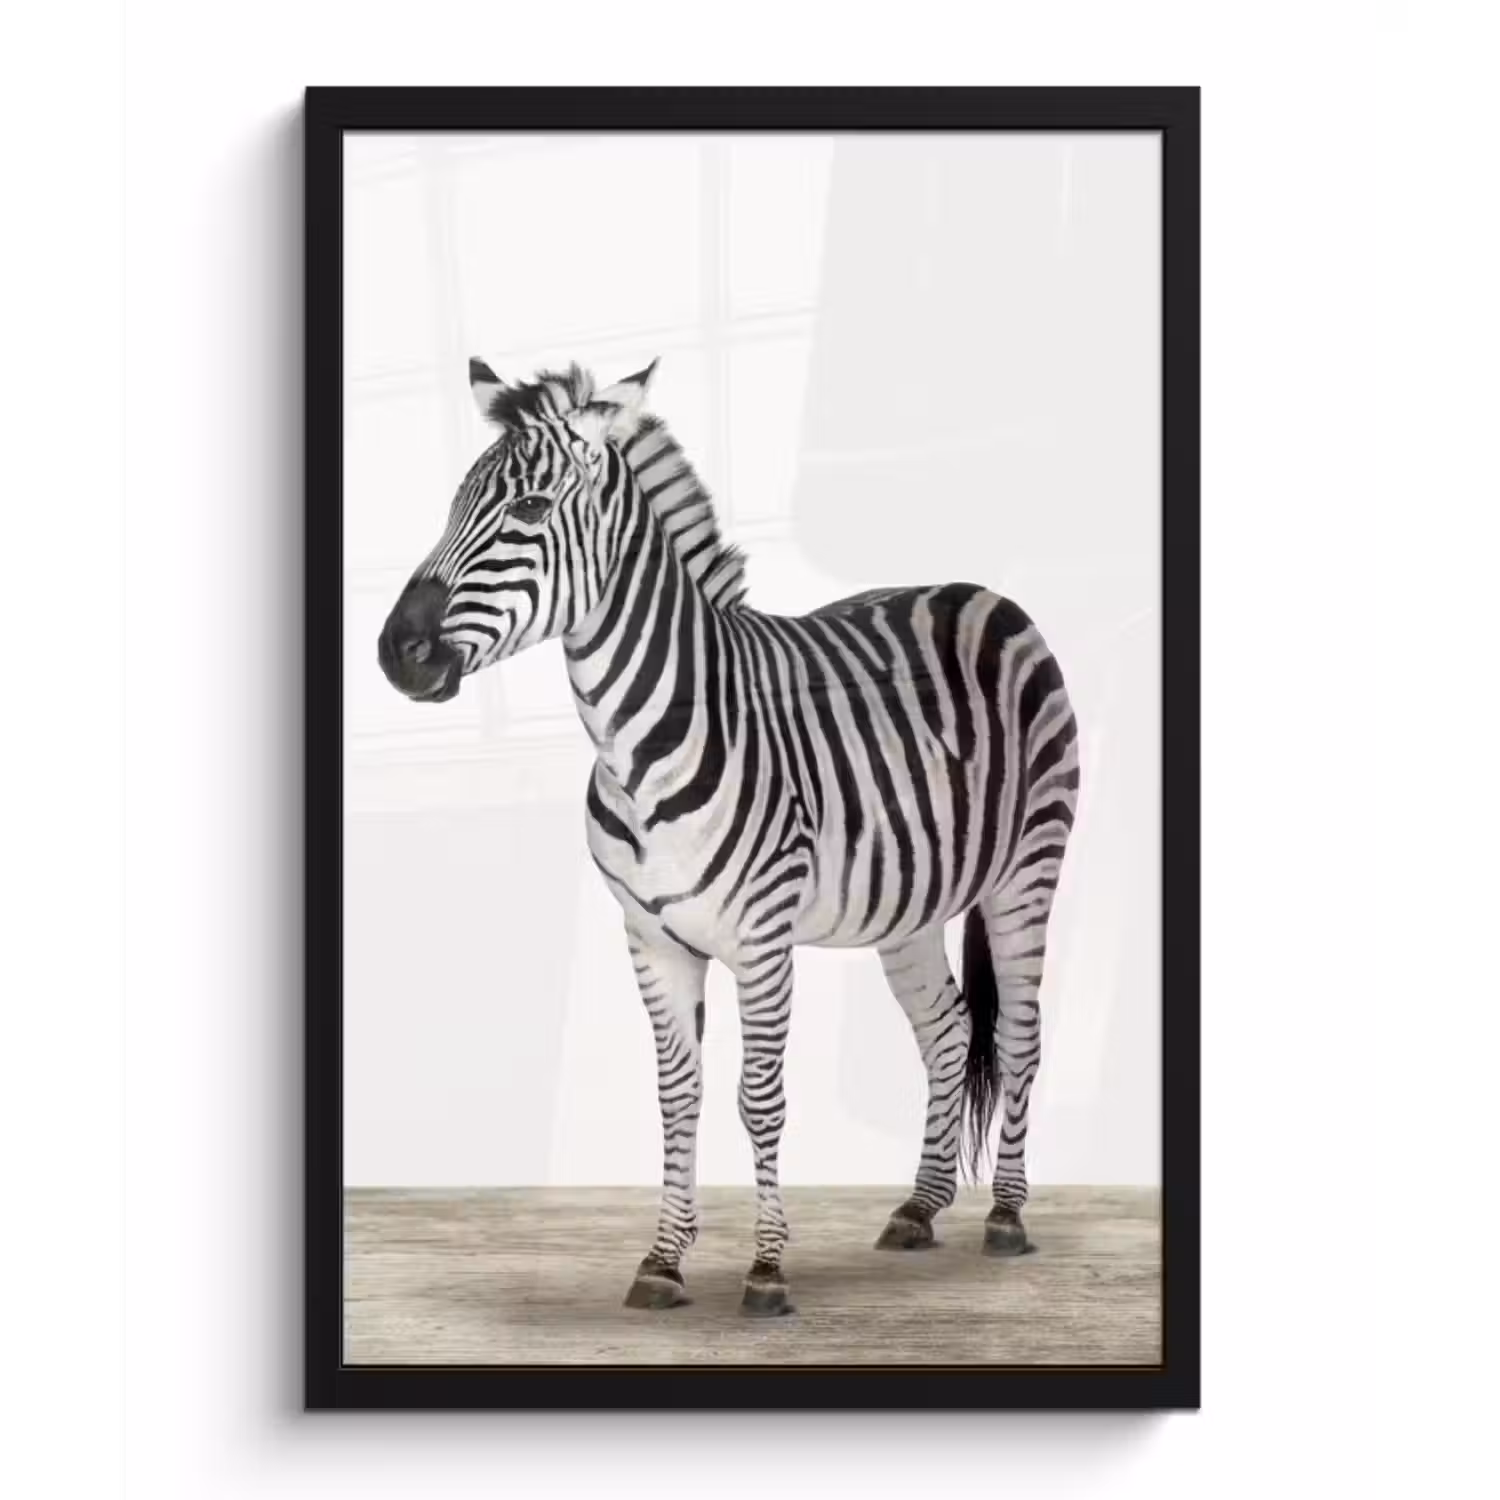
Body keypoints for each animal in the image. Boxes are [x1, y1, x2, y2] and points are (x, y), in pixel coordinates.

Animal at [377, 357, 1080, 1317]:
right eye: (452, 506)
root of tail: (985, 593)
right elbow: (679, 1096)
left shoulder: (762, 938)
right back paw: (920, 1207)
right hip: (910, 902)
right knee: (944, 1031)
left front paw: (767, 1269)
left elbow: (760, 1098)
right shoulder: (651, 939)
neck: (637, 744)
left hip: (1027, 871)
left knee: (1019, 1036)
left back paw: (1006, 1216)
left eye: (527, 509)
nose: (395, 653)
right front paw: (663, 1261)